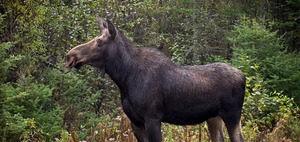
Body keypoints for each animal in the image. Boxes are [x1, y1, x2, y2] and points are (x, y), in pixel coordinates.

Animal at [67, 16, 245, 141]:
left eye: (99, 41)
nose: (70, 55)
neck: (124, 78)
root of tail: (243, 76)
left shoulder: (152, 118)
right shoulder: (136, 122)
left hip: (232, 114)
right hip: (214, 117)